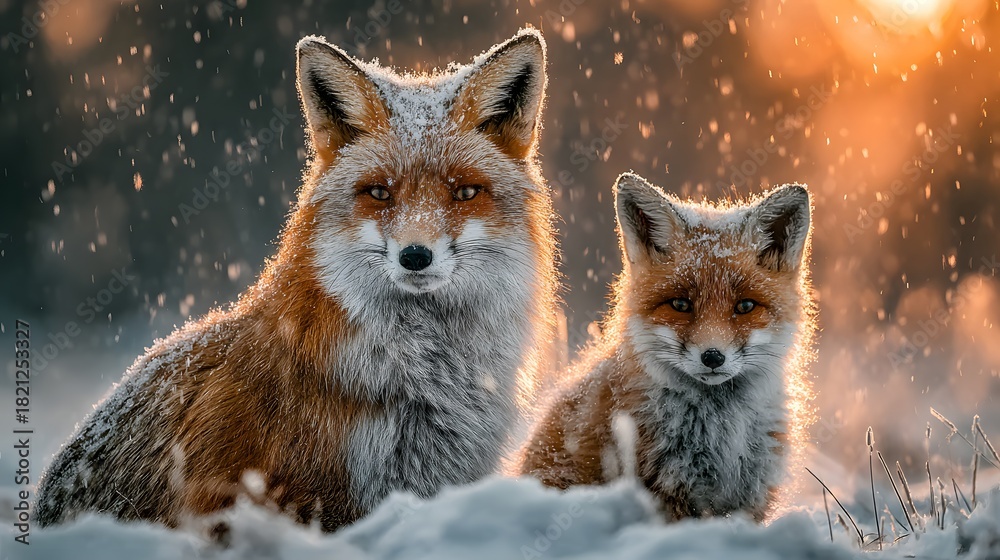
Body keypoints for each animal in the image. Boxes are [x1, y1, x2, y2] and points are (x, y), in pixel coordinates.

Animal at [520, 172, 815, 522]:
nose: (712, 356)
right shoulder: (671, 494)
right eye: (680, 304)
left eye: (744, 306)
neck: (721, 433)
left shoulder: (749, 501)